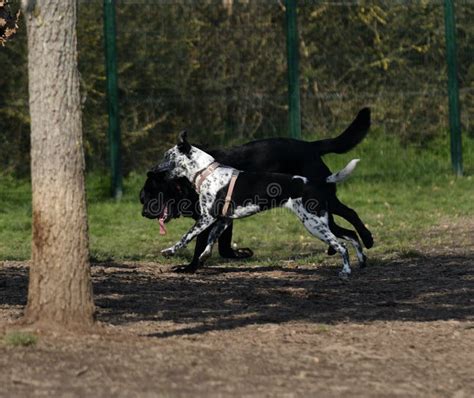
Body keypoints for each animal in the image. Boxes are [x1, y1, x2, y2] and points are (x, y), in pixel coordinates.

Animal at [141, 107, 374, 272]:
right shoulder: (222, 221)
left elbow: (187, 238)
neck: (206, 172)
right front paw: (205, 258)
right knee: (350, 236)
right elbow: (211, 243)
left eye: (166, 155)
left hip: (314, 223)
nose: (152, 169)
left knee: (345, 237)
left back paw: (348, 266)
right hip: (322, 221)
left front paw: (175, 255)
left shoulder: (206, 218)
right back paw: (361, 260)